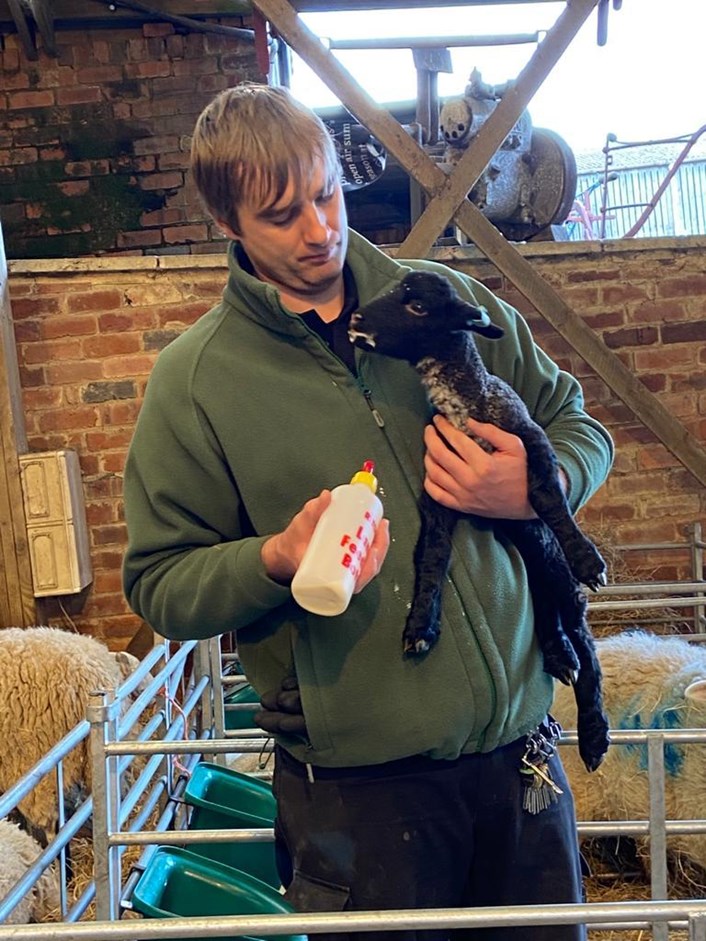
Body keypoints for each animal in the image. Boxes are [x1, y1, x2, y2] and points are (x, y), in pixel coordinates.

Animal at [350, 270, 608, 772]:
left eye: (417, 306)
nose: (354, 320)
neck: (466, 401)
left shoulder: (531, 442)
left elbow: (547, 496)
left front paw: (587, 557)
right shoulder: (438, 491)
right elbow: (432, 555)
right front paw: (419, 628)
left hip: (552, 565)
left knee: (584, 636)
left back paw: (593, 734)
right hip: (536, 561)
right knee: (548, 607)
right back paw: (558, 654)